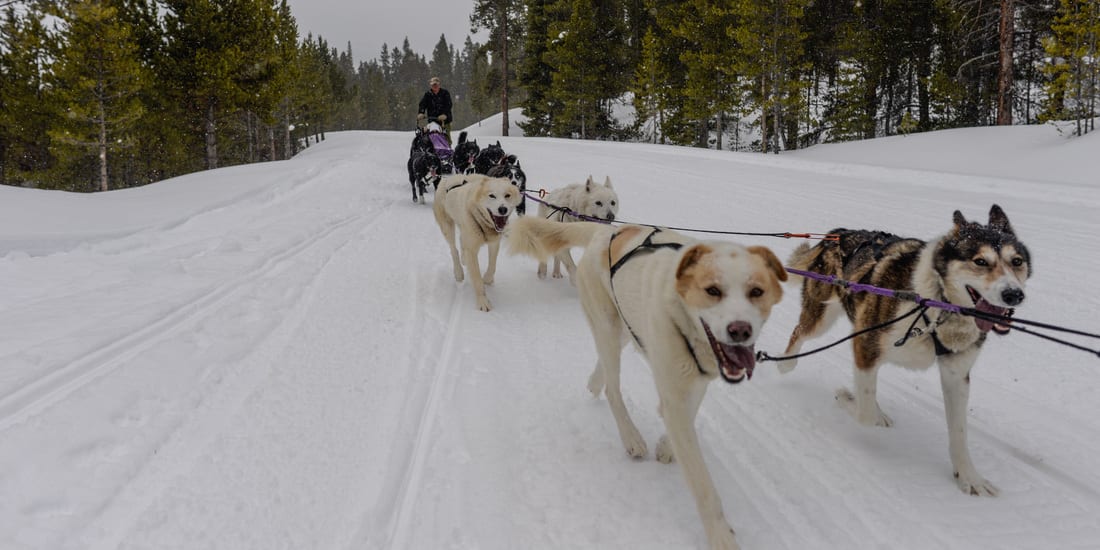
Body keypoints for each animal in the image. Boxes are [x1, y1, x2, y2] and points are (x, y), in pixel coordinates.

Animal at [433, 173, 523, 312]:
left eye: (507, 195)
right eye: (492, 195)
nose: (503, 209)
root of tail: (449, 176)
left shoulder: (494, 243)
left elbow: (492, 265)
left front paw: (488, 278)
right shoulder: (472, 249)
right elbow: (476, 279)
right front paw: (483, 301)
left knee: (461, 242)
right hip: (447, 228)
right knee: (453, 249)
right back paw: (458, 272)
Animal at [510, 215, 787, 550]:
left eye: (756, 291)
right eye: (713, 290)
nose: (740, 330)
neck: (683, 319)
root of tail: (606, 231)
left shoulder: (694, 382)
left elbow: (685, 416)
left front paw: (667, 445)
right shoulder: (676, 390)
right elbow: (704, 486)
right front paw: (721, 536)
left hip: (624, 329)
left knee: (607, 365)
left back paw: (594, 381)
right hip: (607, 326)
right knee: (613, 389)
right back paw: (631, 437)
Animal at [778, 204, 1025, 497]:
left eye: (1017, 261)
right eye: (980, 261)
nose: (1014, 295)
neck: (936, 303)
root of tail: (837, 234)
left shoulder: (956, 375)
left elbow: (959, 433)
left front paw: (969, 476)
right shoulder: (865, 346)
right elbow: (864, 414)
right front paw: (846, 398)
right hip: (821, 318)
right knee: (798, 333)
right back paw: (785, 363)